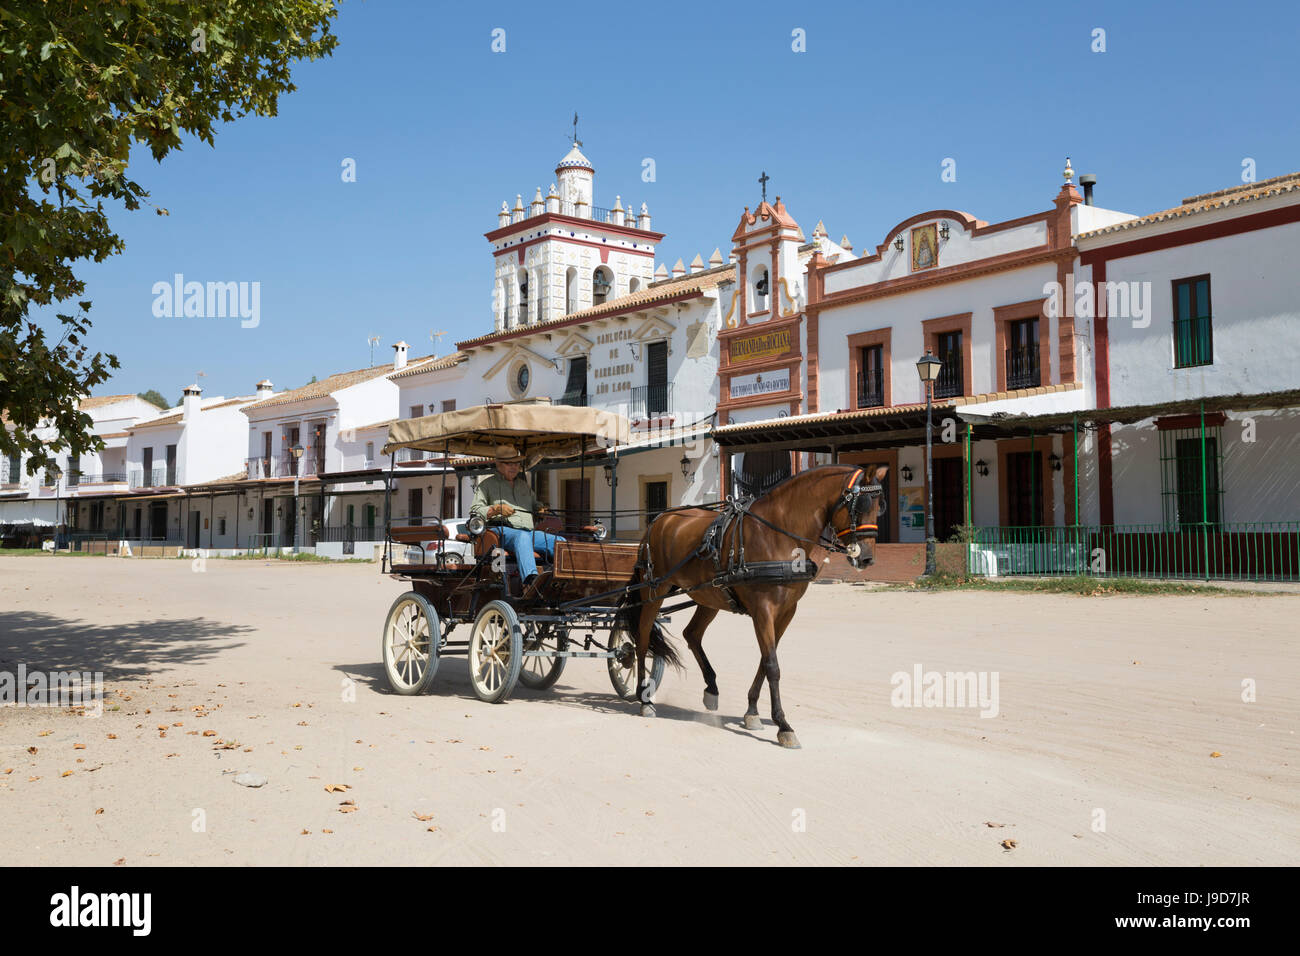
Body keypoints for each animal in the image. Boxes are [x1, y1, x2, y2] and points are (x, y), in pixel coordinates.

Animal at [616, 463, 883, 749]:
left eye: (880, 505)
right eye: (861, 504)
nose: (867, 558)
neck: (778, 534)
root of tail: (658, 520)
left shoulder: (787, 611)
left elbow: (765, 660)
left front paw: (752, 712)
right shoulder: (763, 609)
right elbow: (772, 665)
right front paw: (783, 725)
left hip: (709, 595)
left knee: (692, 634)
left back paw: (711, 688)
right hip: (654, 590)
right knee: (643, 638)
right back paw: (644, 697)